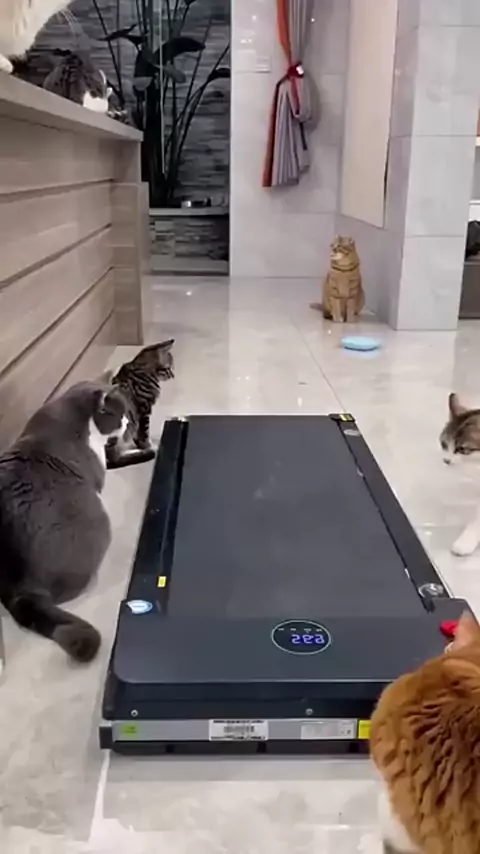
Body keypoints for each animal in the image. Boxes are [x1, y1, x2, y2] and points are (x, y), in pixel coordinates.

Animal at [105, 340, 175, 470]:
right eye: (169, 368)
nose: (173, 375)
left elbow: (139, 434)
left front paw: (139, 443)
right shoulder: (144, 410)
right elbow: (145, 432)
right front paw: (147, 445)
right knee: (114, 459)